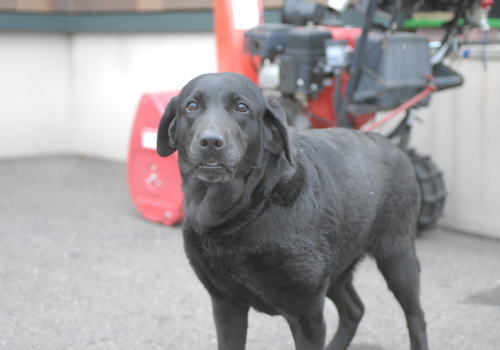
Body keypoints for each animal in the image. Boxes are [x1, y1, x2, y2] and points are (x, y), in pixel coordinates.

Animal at [157, 73, 430, 350]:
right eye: (191, 106)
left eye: (241, 107)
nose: (211, 141)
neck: (246, 212)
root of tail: (392, 145)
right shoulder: (226, 304)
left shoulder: (306, 314)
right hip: (337, 267)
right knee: (355, 309)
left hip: (397, 257)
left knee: (416, 316)